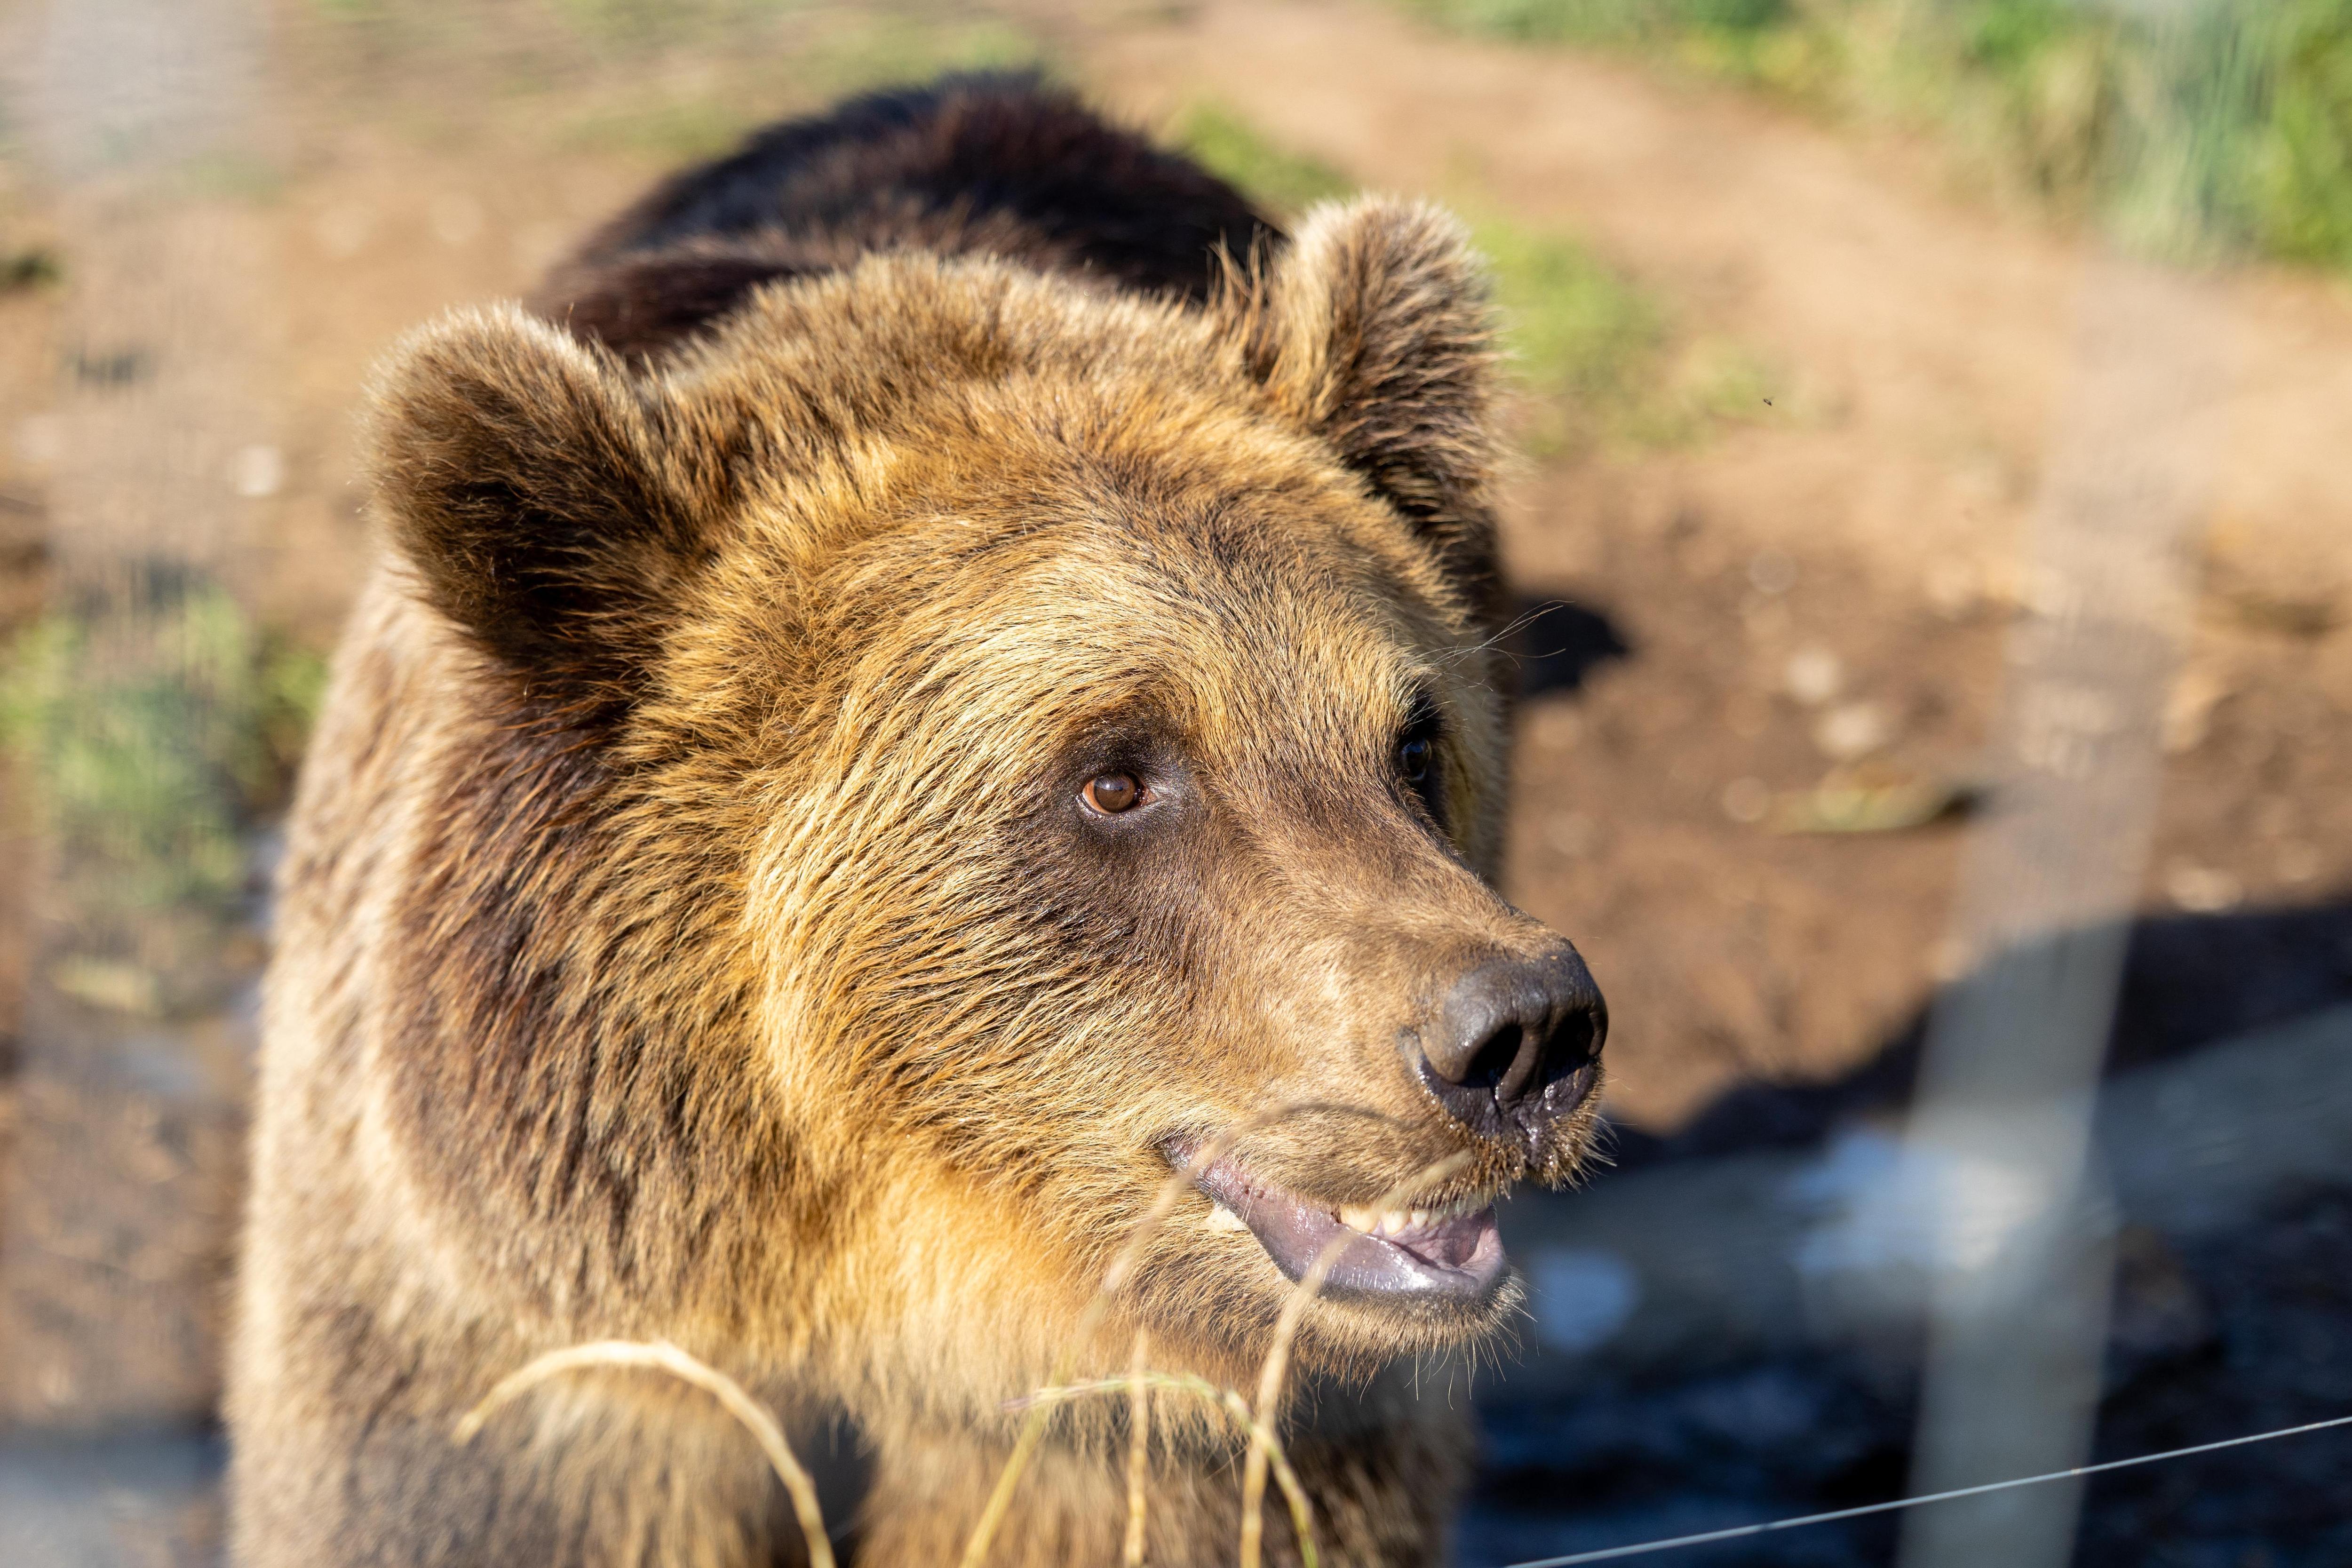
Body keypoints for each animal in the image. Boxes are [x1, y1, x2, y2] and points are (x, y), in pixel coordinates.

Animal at [229, 73, 1599, 1568]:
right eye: (1116, 775)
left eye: (1412, 739)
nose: (1522, 1033)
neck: (879, 1290)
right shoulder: (531, 1360)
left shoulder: (1154, 1451)